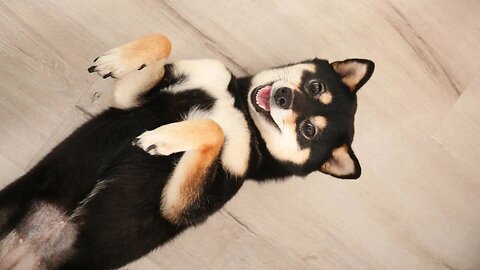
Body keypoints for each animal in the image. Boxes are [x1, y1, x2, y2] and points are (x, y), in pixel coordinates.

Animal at [0, 34, 376, 270]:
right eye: (315, 85)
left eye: (308, 131)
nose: (284, 97)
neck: (239, 107)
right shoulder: (135, 99)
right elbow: (163, 40)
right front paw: (117, 60)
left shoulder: (179, 205)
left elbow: (212, 129)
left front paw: (164, 139)